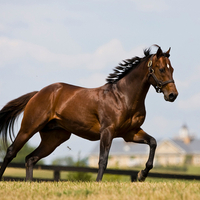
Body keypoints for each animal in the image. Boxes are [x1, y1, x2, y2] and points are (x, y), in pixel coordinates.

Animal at [0, 45, 178, 181]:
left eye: (173, 69)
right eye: (161, 69)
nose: (173, 95)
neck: (123, 97)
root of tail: (37, 94)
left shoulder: (131, 133)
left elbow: (153, 142)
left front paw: (142, 175)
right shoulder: (107, 131)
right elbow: (103, 160)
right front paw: (98, 183)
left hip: (54, 138)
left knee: (30, 159)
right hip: (29, 128)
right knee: (11, 152)